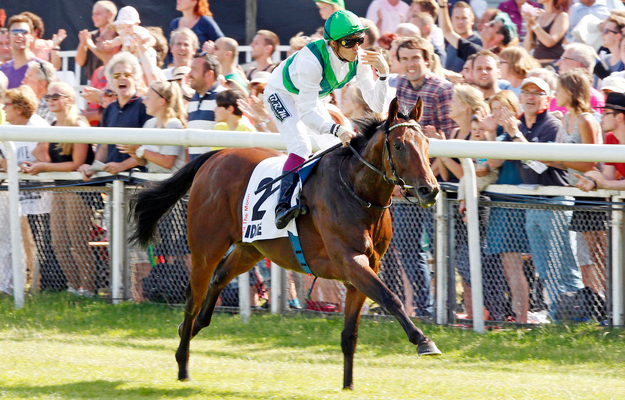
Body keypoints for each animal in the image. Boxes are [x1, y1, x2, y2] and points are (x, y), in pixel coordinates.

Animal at [128, 97, 438, 388]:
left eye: (426, 143)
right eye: (398, 145)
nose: (430, 190)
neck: (355, 190)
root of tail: (216, 155)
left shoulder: (365, 268)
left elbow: (350, 334)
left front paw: (348, 385)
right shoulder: (351, 261)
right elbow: (390, 297)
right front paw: (423, 341)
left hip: (249, 249)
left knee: (217, 280)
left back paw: (188, 329)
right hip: (207, 247)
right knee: (194, 297)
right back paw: (183, 364)